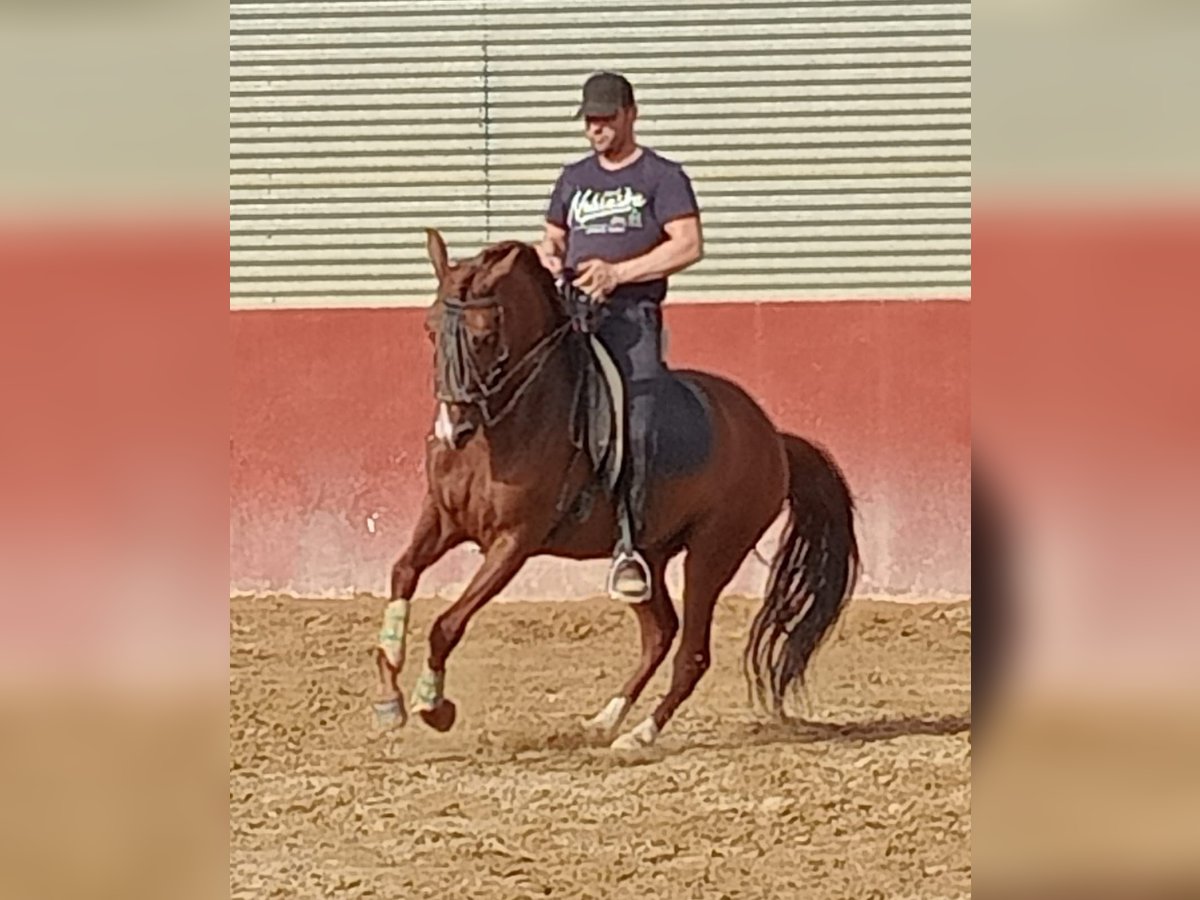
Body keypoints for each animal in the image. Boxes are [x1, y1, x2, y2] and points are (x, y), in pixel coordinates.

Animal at [369, 229, 859, 748]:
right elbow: (402, 573)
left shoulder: (512, 543)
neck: (497, 431)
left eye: (483, 337)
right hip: (650, 555)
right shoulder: (443, 518)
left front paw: (433, 705)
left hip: (714, 554)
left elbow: (447, 623)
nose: (451, 429)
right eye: (429, 329)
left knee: (692, 652)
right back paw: (606, 718)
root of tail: (774, 438)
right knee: (660, 633)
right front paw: (389, 695)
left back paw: (639, 735)